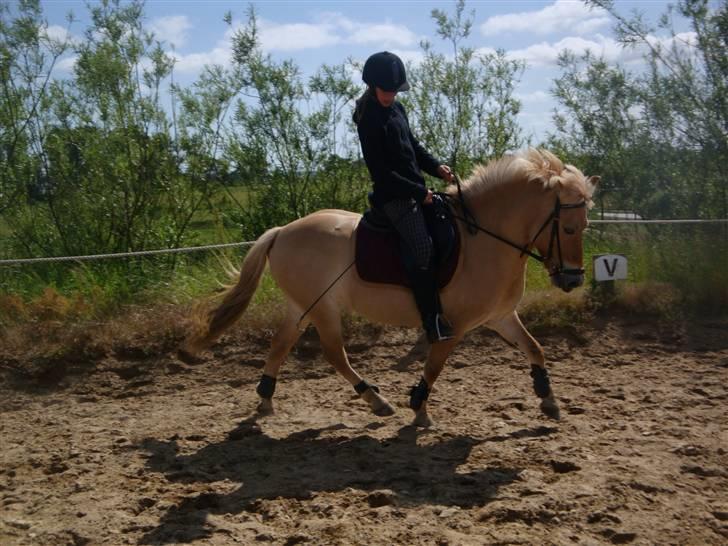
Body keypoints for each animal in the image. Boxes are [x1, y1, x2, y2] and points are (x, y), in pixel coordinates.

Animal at [186, 148, 599, 427]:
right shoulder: (453, 325)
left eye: (584, 226)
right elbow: (434, 364)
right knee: (334, 354)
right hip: (322, 308)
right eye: (568, 228)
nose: (573, 280)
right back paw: (376, 401)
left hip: (302, 305)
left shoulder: (500, 316)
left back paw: (266, 401)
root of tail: (282, 231)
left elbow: (535, 348)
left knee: (280, 344)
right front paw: (418, 407)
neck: (484, 238)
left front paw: (549, 400)